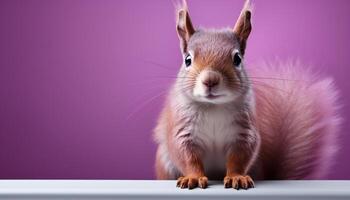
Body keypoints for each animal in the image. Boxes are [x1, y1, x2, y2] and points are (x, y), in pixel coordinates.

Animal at [152, 0, 340, 190]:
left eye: (237, 59)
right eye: (187, 60)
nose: (210, 80)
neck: (214, 107)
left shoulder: (244, 132)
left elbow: (239, 157)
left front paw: (237, 177)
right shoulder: (182, 131)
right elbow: (187, 156)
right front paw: (194, 178)